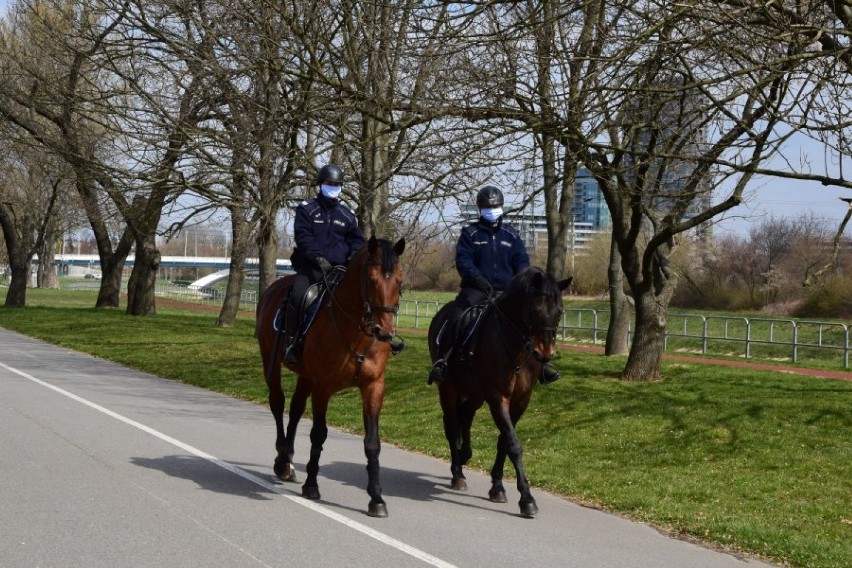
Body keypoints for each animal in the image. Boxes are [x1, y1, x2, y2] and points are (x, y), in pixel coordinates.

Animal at [255, 233, 404, 516]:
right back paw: (281, 461)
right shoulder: (323, 387)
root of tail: (274, 288)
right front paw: (312, 485)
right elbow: (318, 434)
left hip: (305, 376)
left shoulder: (373, 387)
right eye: (371, 278)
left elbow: (372, 443)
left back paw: (288, 460)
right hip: (271, 360)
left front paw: (376, 498)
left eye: (399, 280)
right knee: (278, 404)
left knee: (296, 409)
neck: (357, 331)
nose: (385, 331)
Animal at [426, 268, 572, 516]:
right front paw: (527, 499)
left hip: (475, 394)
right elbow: (513, 443)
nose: (545, 353)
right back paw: (457, 473)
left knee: (466, 417)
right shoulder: (497, 397)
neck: (516, 349)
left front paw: (497, 486)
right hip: (448, 389)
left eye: (559, 310)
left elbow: (504, 441)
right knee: (452, 427)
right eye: (536, 307)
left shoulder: (520, 400)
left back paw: (464, 456)